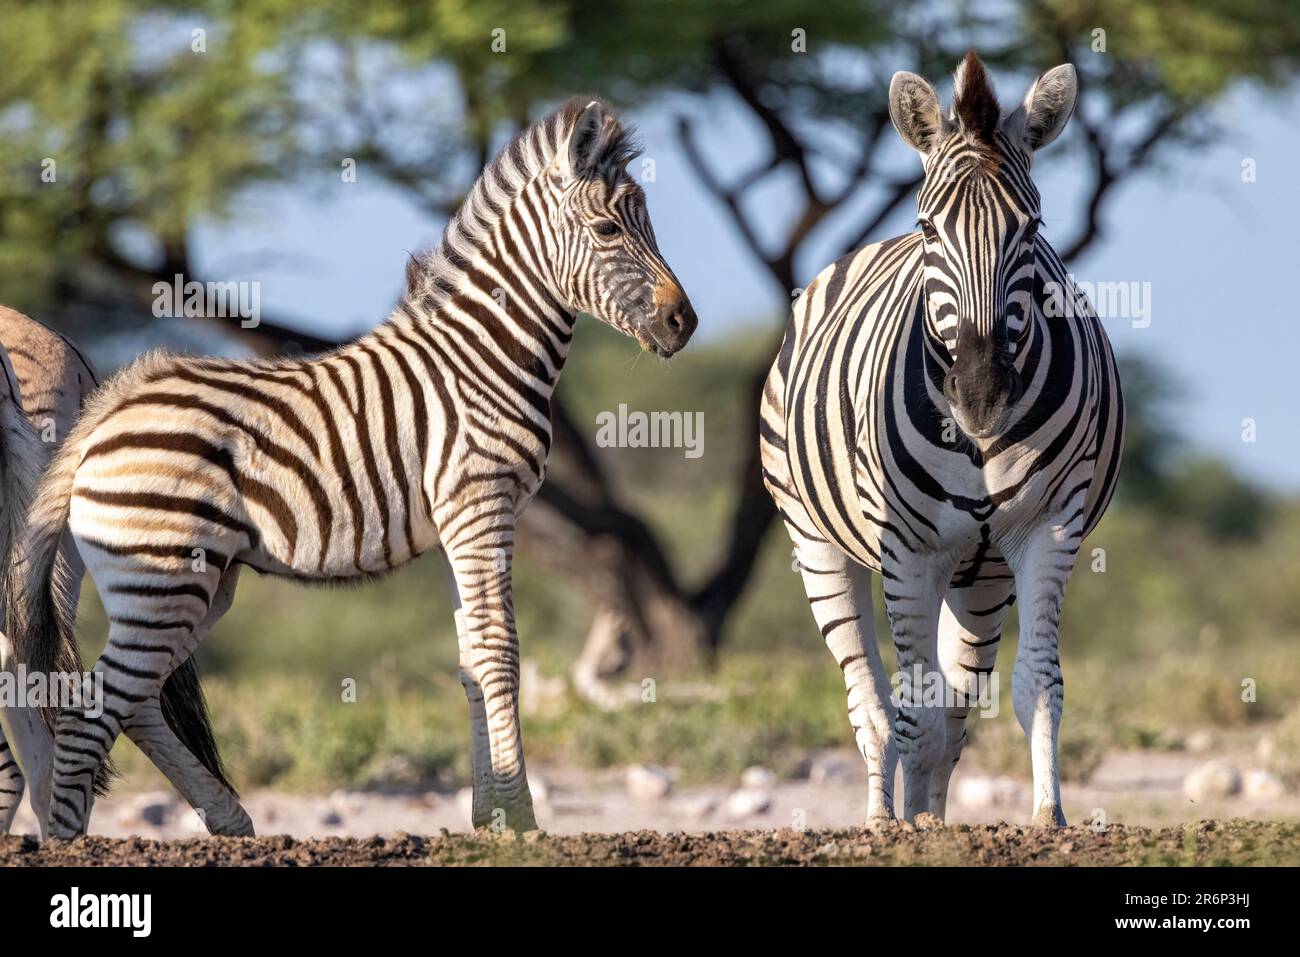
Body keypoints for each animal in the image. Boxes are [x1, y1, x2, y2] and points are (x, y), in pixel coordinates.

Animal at [3, 96, 695, 839]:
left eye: (649, 220)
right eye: (607, 228)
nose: (683, 323)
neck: (481, 356)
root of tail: (101, 414)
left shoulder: (459, 521)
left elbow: (470, 661)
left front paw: (488, 818)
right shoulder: (481, 503)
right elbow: (500, 651)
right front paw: (521, 820)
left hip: (190, 585)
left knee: (131, 701)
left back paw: (230, 821)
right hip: (160, 577)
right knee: (91, 713)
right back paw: (74, 844)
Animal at [760, 52, 1123, 827]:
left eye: (1032, 227)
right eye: (930, 230)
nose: (981, 394)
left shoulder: (1049, 529)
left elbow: (1034, 685)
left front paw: (1047, 816)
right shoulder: (908, 549)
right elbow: (912, 710)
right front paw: (910, 831)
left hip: (980, 577)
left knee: (956, 705)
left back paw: (928, 810)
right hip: (817, 541)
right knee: (873, 704)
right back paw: (884, 818)